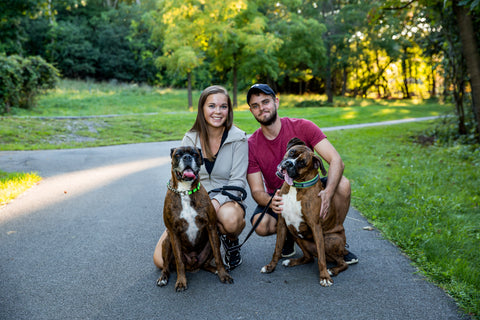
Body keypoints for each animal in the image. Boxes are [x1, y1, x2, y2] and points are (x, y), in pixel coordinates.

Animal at [157, 146, 233, 292]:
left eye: (195, 154)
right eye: (178, 154)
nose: (187, 157)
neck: (185, 191)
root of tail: (193, 265)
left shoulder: (211, 227)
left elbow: (218, 256)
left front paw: (223, 274)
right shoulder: (173, 233)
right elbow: (179, 261)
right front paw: (181, 281)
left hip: (211, 242)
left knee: (206, 263)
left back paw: (215, 270)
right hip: (167, 242)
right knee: (166, 266)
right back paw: (163, 278)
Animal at [260, 137, 346, 284]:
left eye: (302, 163)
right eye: (292, 152)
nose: (288, 163)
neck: (296, 186)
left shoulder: (315, 226)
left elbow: (321, 258)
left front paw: (324, 276)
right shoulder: (282, 224)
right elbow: (277, 248)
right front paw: (271, 267)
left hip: (328, 240)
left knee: (341, 262)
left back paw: (332, 270)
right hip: (296, 234)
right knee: (309, 258)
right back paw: (291, 262)